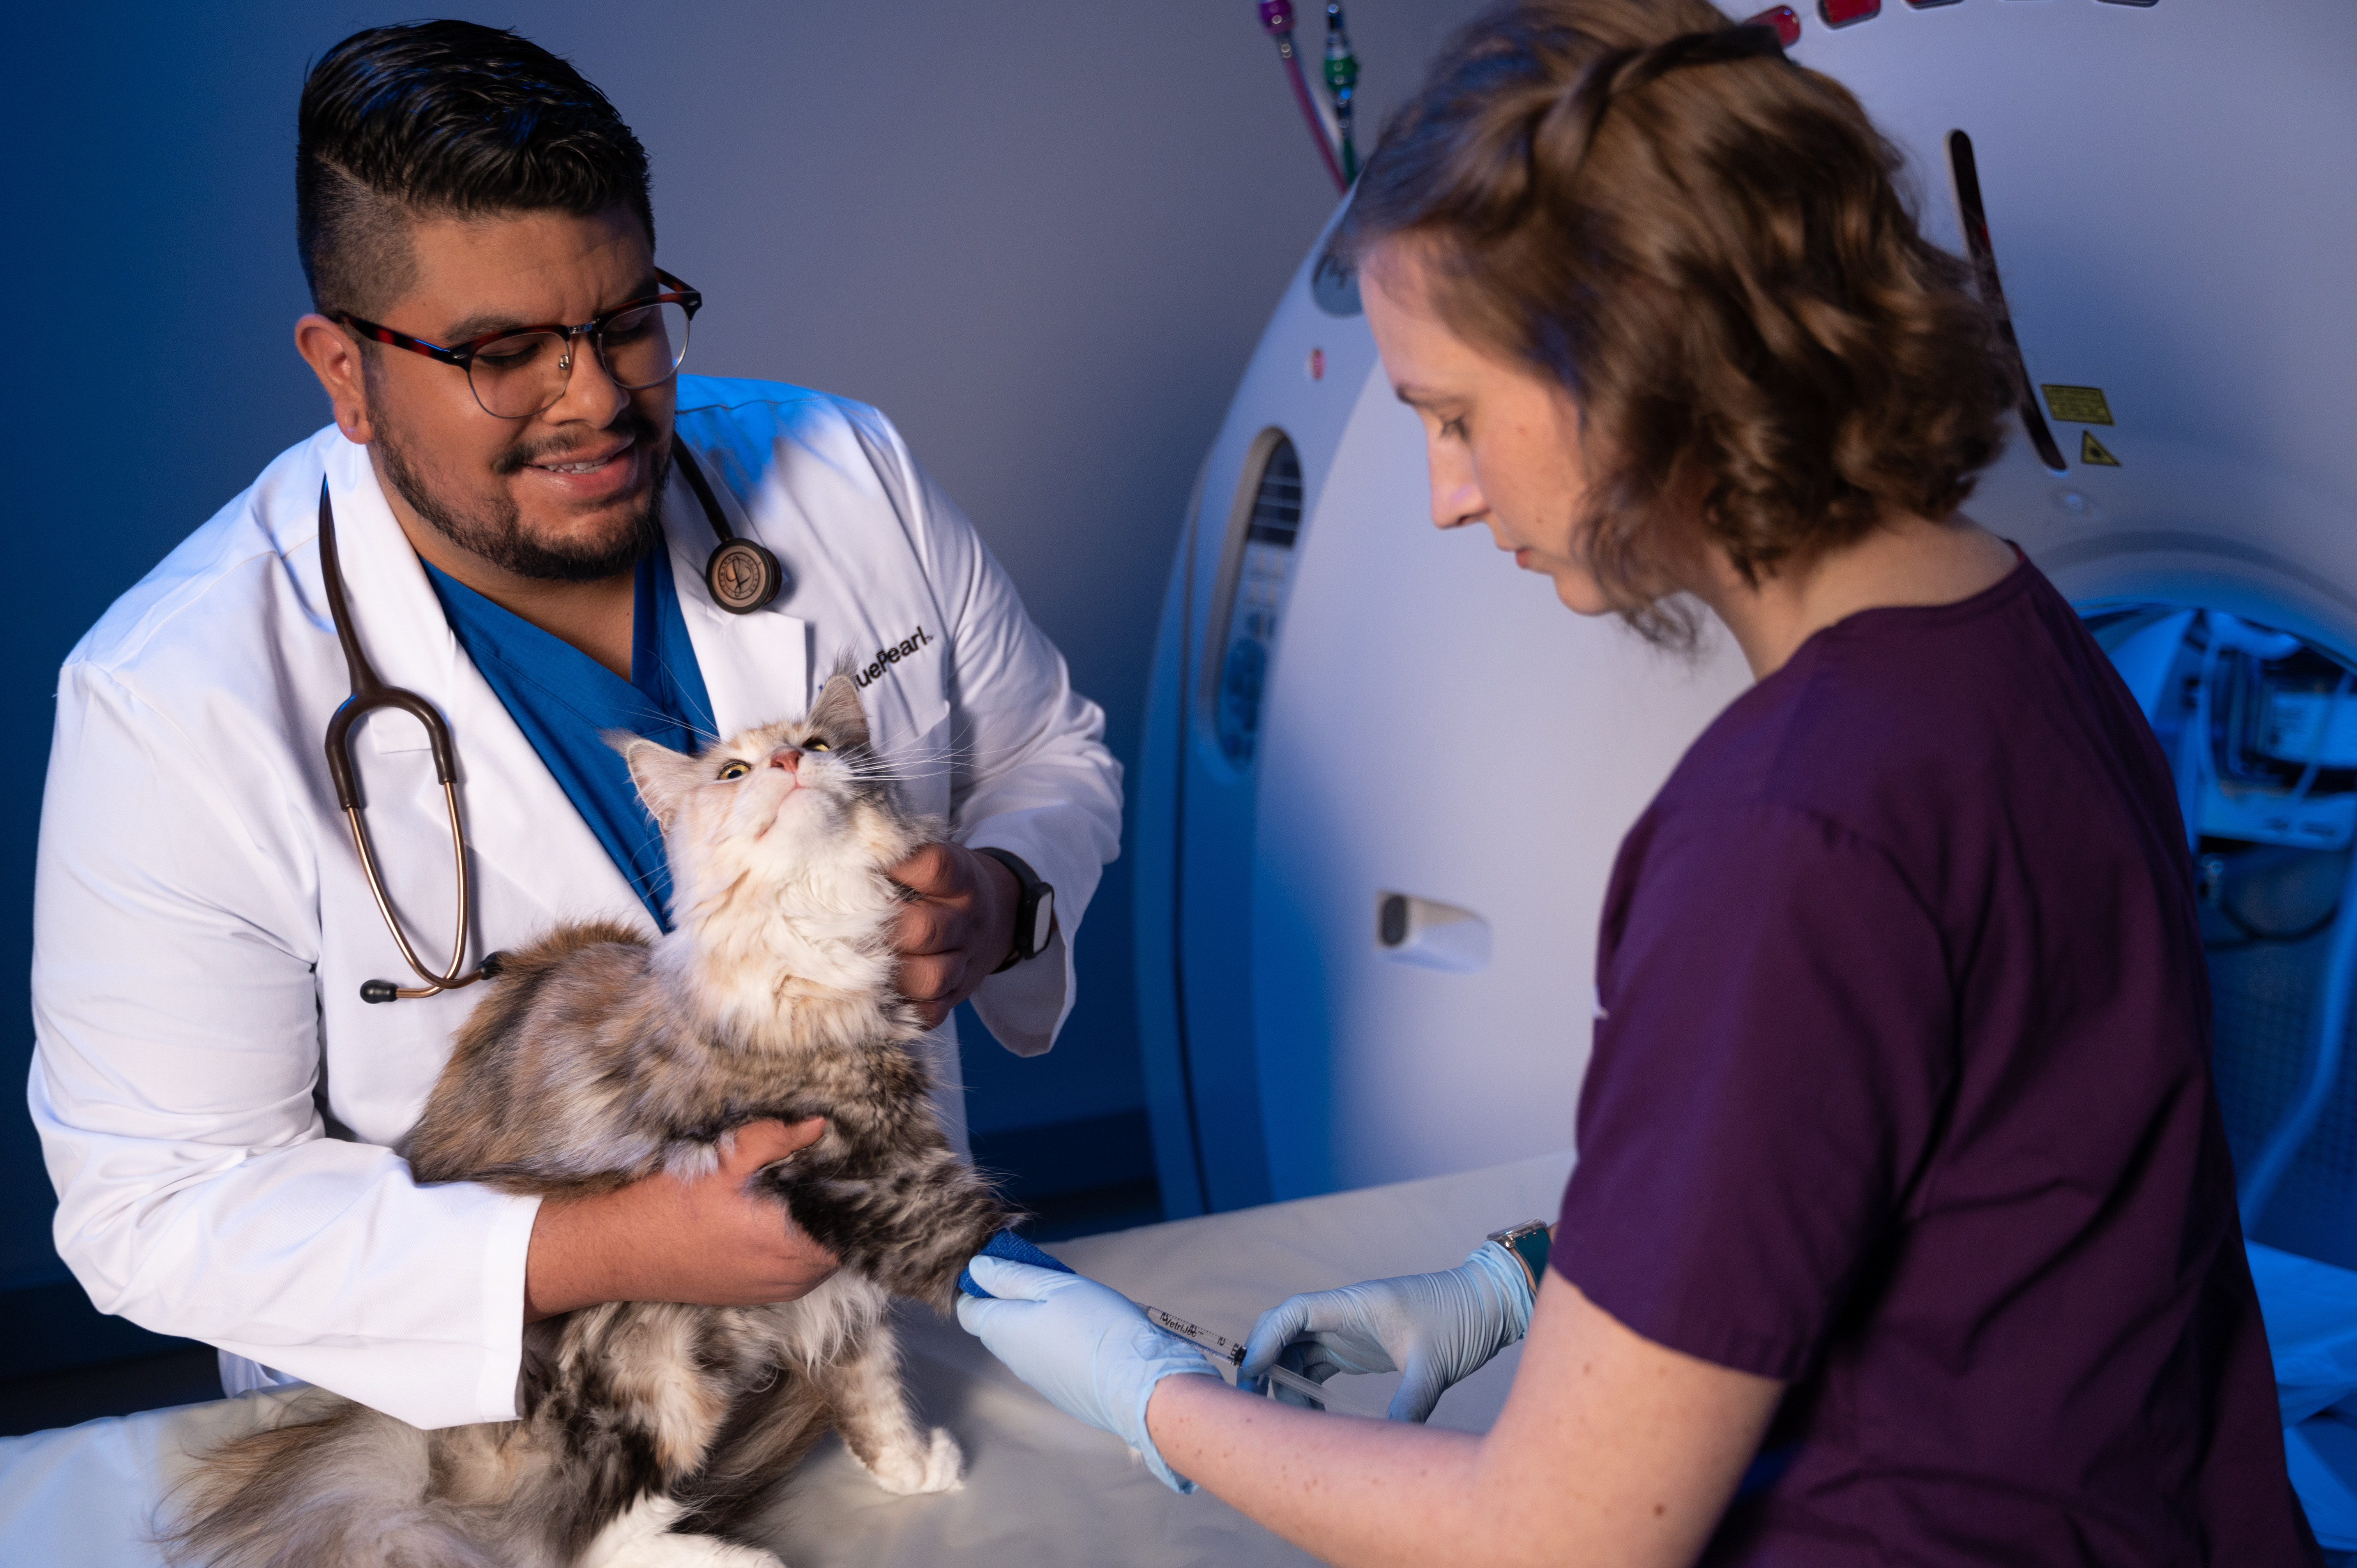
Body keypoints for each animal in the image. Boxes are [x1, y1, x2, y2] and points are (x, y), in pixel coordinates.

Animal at [166, 669, 1013, 1565]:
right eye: (735, 772)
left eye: (817, 744)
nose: (788, 761)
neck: (810, 921)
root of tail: (428, 1445)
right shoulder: (874, 1162)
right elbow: (982, 1254)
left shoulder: (848, 1266)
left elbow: (872, 1381)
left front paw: (914, 1466)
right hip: (666, 1364)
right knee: (577, 1536)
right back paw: (743, 1559)